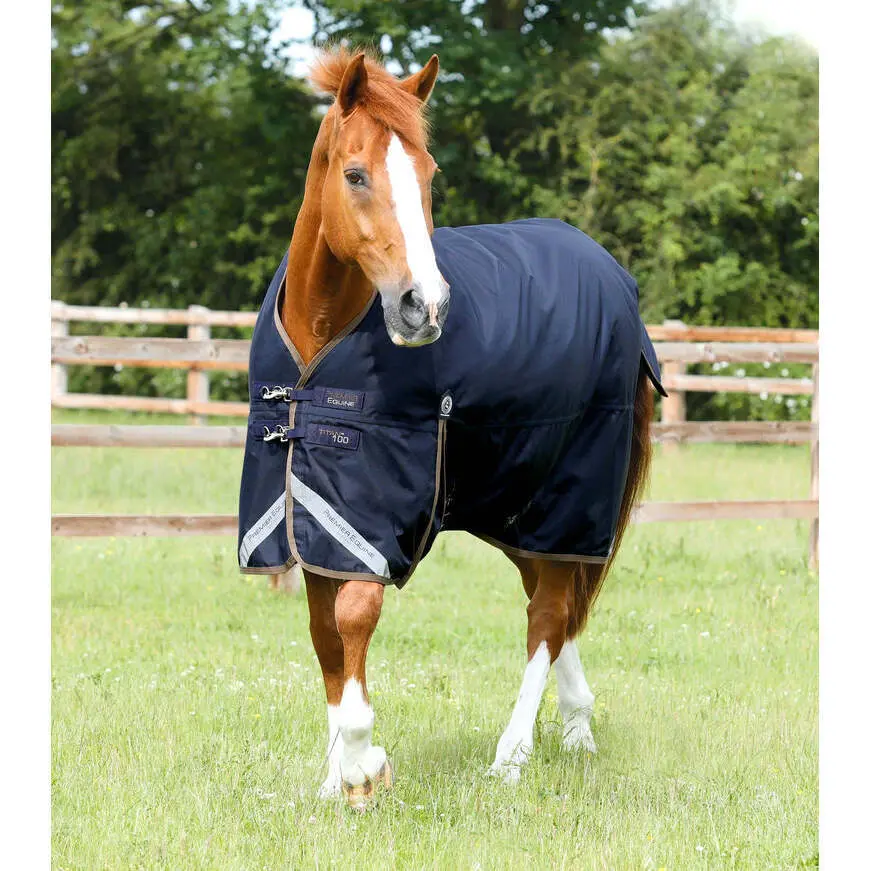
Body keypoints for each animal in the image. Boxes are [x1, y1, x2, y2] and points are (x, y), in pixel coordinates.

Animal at [238, 48, 661, 807]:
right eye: (355, 173)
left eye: (429, 174)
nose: (423, 307)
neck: (320, 349)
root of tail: (615, 278)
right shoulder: (309, 508)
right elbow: (324, 635)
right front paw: (336, 779)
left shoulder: (371, 513)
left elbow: (352, 618)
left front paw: (364, 766)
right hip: (516, 501)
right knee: (552, 600)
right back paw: (578, 727)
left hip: (569, 489)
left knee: (548, 611)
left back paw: (511, 756)